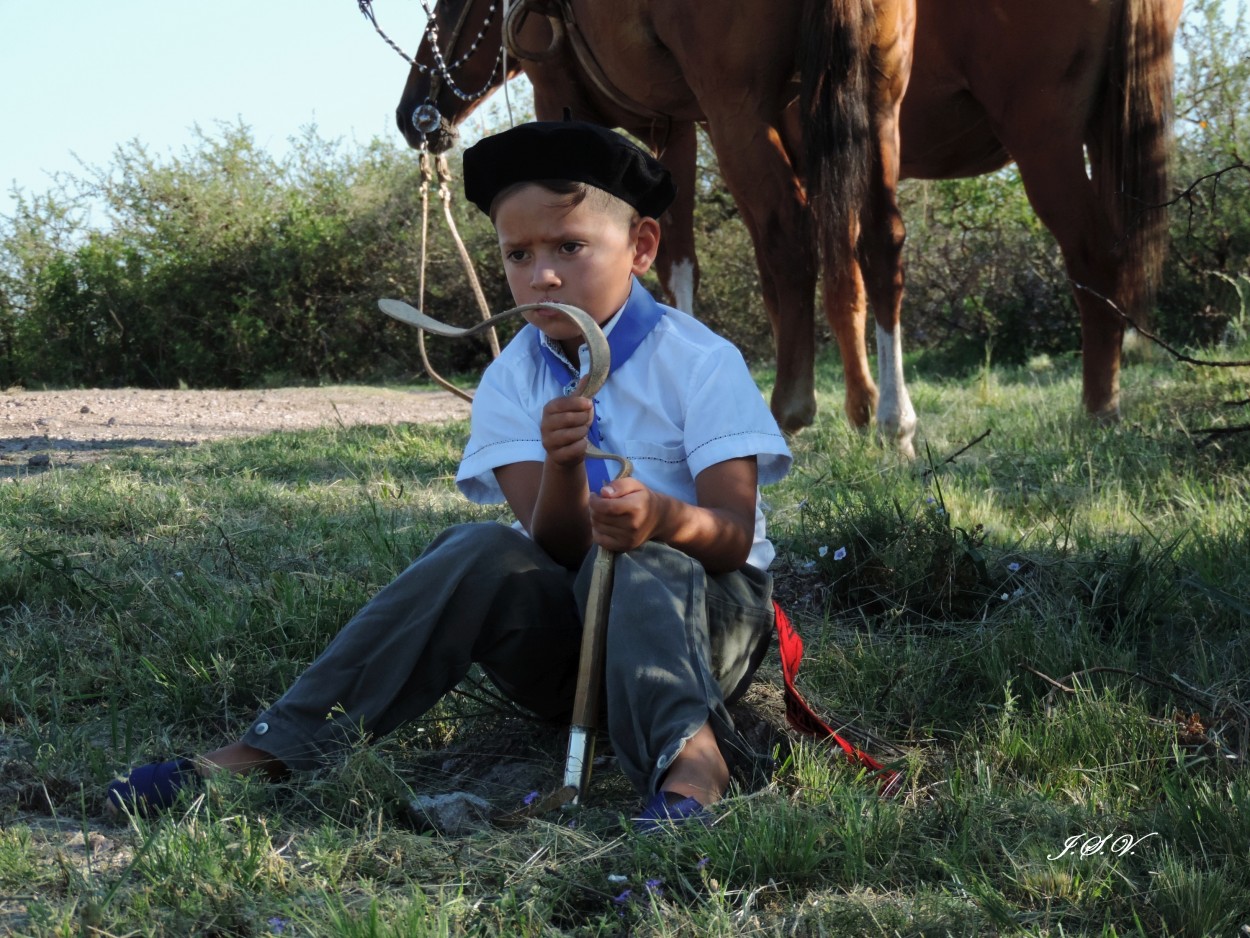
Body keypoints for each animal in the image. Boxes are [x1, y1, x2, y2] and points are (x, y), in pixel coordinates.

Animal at [400, 0, 920, 452]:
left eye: (447, 7)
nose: (412, 115)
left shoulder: (560, 97)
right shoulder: (675, 125)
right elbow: (677, 258)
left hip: (740, 113)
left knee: (789, 239)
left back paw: (791, 410)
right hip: (876, 104)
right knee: (879, 241)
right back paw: (895, 422)